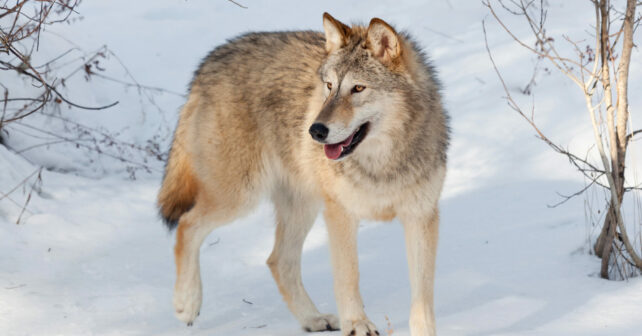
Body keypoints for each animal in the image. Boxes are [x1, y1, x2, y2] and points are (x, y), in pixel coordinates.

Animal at [158, 12, 448, 336]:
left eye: (358, 88)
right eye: (329, 86)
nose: (315, 130)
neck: (381, 163)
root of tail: (210, 60)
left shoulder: (422, 216)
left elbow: (422, 293)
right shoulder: (340, 213)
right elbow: (349, 277)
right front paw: (357, 324)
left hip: (301, 206)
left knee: (277, 260)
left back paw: (313, 318)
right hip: (240, 197)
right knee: (187, 225)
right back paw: (186, 304)